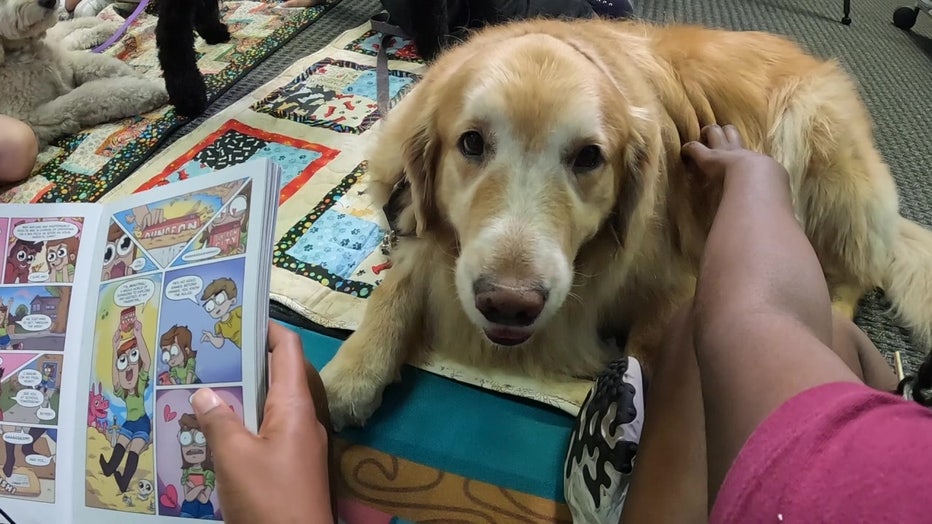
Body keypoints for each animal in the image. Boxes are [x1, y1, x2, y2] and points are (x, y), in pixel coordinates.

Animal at [0, 0, 167, 147]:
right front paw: (149, 90)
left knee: (71, 27)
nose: (48, 1)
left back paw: (105, 25)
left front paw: (141, 79)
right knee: (71, 38)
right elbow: (90, 96)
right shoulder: (37, 117)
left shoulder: (70, 63)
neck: (25, 51)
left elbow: (104, 65)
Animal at [320, 17, 932, 430]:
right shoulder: (417, 233)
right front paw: (349, 375)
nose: (510, 304)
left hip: (815, 138)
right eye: (471, 143)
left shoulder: (679, 278)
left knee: (852, 276)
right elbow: (396, 286)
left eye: (589, 157)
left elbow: (649, 344)